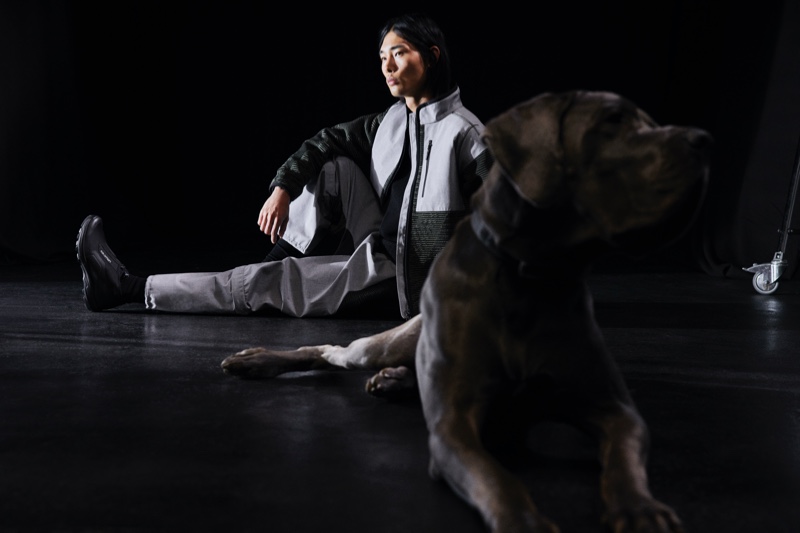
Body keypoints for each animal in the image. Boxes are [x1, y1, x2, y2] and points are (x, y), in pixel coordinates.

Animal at [221, 91, 711, 532]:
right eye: (612, 121)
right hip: (375, 346)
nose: (704, 141)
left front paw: (640, 507)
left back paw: (395, 379)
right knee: (326, 349)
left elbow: (625, 459)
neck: (529, 279)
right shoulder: (453, 430)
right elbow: (498, 481)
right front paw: (524, 521)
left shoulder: (618, 412)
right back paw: (260, 359)